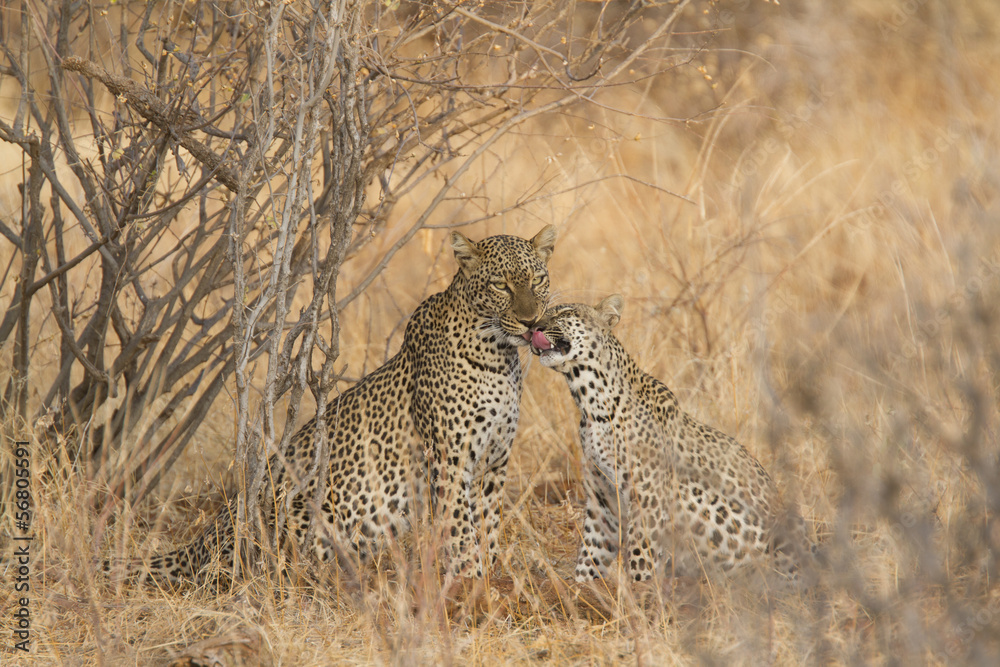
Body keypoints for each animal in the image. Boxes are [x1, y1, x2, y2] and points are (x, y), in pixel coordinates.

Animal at [115, 226, 557, 587]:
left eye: (538, 279)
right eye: (500, 285)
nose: (532, 321)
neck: (499, 356)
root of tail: (206, 535)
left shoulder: (494, 463)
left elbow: (489, 524)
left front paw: (492, 577)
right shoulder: (450, 458)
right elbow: (461, 528)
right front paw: (471, 583)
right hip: (303, 511)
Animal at [528, 294, 810, 583]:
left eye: (564, 312)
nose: (533, 328)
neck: (590, 402)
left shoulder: (648, 498)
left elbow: (640, 555)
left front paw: (641, 591)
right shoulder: (602, 500)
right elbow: (590, 554)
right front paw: (583, 588)